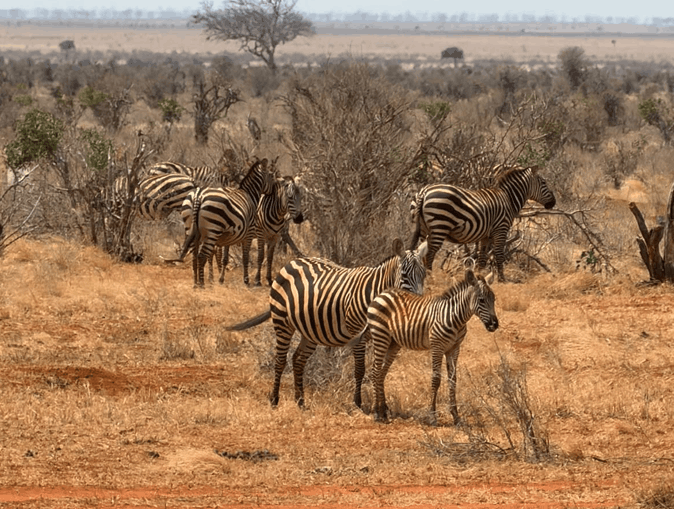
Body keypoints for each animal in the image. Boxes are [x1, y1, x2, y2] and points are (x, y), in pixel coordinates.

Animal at [183, 158, 275, 287]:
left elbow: (226, 258)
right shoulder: (249, 234)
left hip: (191, 229)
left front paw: (222, 279)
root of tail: (198, 196)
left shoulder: (230, 236)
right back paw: (202, 284)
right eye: (271, 175)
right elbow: (245, 257)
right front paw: (246, 280)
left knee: (194, 256)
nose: (275, 190)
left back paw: (196, 283)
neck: (250, 195)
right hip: (212, 231)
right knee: (202, 256)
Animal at [227, 239, 429, 409]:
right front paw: (358, 403)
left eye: (424, 275)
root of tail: (293, 262)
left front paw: (380, 405)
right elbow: (360, 369)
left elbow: (380, 370)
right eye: (404, 275)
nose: (417, 306)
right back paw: (274, 399)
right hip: (282, 322)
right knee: (280, 360)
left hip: (310, 330)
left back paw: (300, 401)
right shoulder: (358, 335)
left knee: (298, 359)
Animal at [367, 267, 498, 424]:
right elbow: (436, 380)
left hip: (393, 343)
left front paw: (456, 416)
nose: (494, 325)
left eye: (494, 299)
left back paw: (384, 411)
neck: (456, 318)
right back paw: (376, 413)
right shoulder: (437, 347)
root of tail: (382, 293)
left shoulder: (454, 349)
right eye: (481, 300)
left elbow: (453, 380)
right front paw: (432, 416)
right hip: (380, 335)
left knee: (381, 373)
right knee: (375, 372)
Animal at [408, 165, 556, 282]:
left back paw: (421, 277)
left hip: (423, 227)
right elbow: (499, 254)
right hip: (440, 224)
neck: (508, 198)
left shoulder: (486, 236)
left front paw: (478, 277)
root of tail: (424, 191)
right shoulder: (501, 229)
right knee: (430, 253)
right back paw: (430, 277)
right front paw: (502, 280)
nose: (553, 203)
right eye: (544, 182)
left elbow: (482, 258)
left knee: (420, 251)